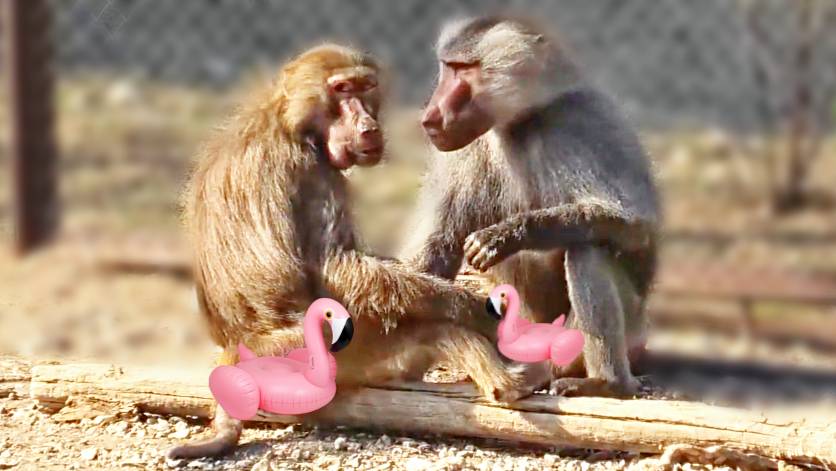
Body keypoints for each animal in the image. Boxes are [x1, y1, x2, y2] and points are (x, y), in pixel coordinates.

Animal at [168, 44, 538, 459]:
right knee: (435, 329)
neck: (285, 120)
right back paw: (508, 382)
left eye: (365, 87)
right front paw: (474, 308)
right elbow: (338, 266)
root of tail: (236, 346)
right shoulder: (311, 168)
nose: (368, 125)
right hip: (325, 354)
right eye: (342, 89)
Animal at [400, 16, 660, 398]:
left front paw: (507, 235)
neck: (522, 119)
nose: (429, 118)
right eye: (447, 67)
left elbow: (635, 224)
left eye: (463, 69)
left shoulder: (585, 122)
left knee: (588, 249)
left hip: (615, 332)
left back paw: (607, 383)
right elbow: (439, 245)